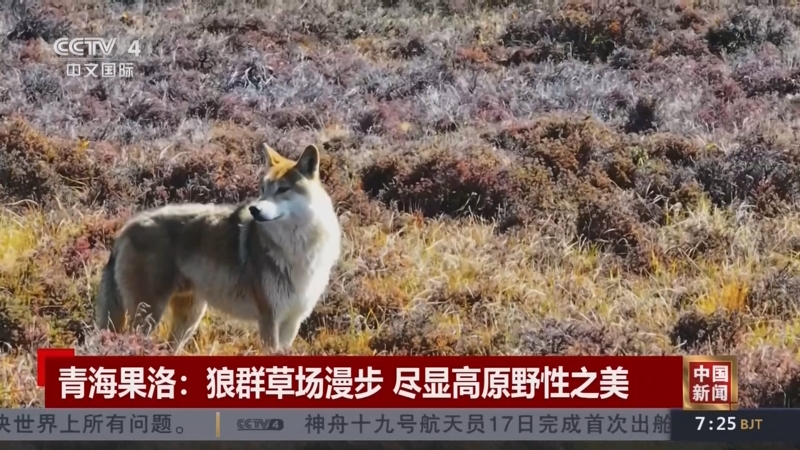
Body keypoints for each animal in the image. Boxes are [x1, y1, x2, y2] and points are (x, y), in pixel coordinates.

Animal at [93, 144, 340, 356]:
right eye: (263, 189)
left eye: (283, 190)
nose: (254, 210)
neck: (299, 249)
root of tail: (126, 228)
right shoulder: (269, 320)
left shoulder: (292, 321)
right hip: (148, 317)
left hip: (188, 319)